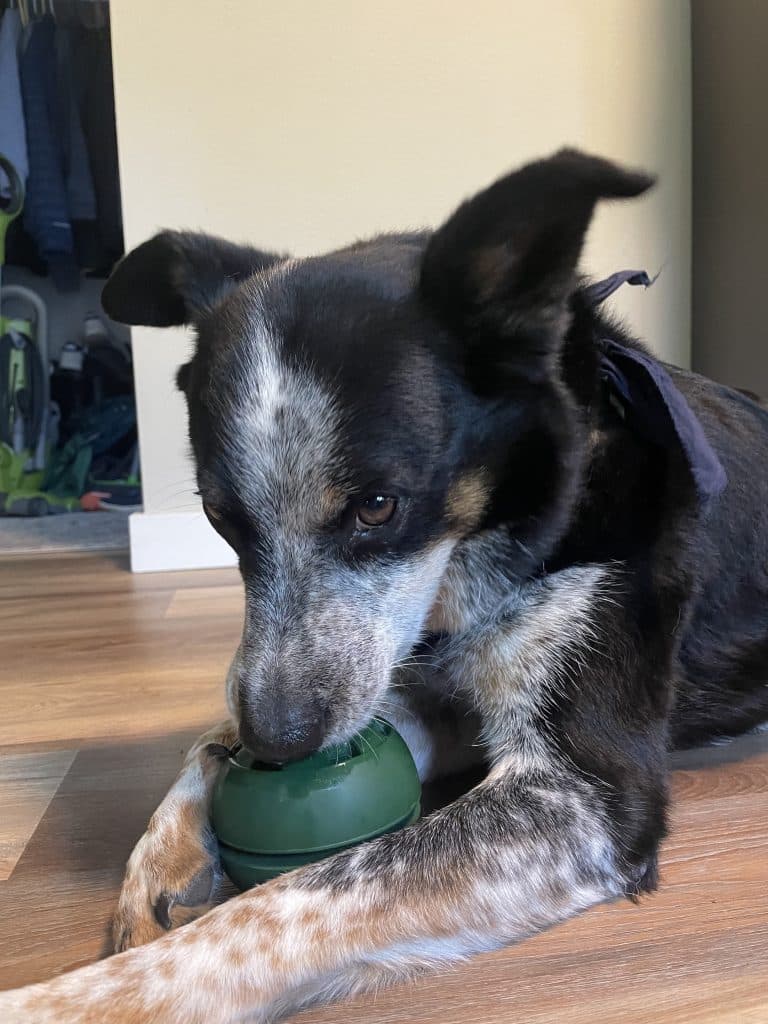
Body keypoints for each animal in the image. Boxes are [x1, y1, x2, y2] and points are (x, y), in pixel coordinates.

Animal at [1, 148, 768, 1019]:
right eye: (220, 517)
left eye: (377, 506)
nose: (277, 743)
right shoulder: (411, 694)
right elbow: (210, 735)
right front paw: (163, 857)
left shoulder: (584, 793)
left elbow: (286, 901)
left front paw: (64, 1001)